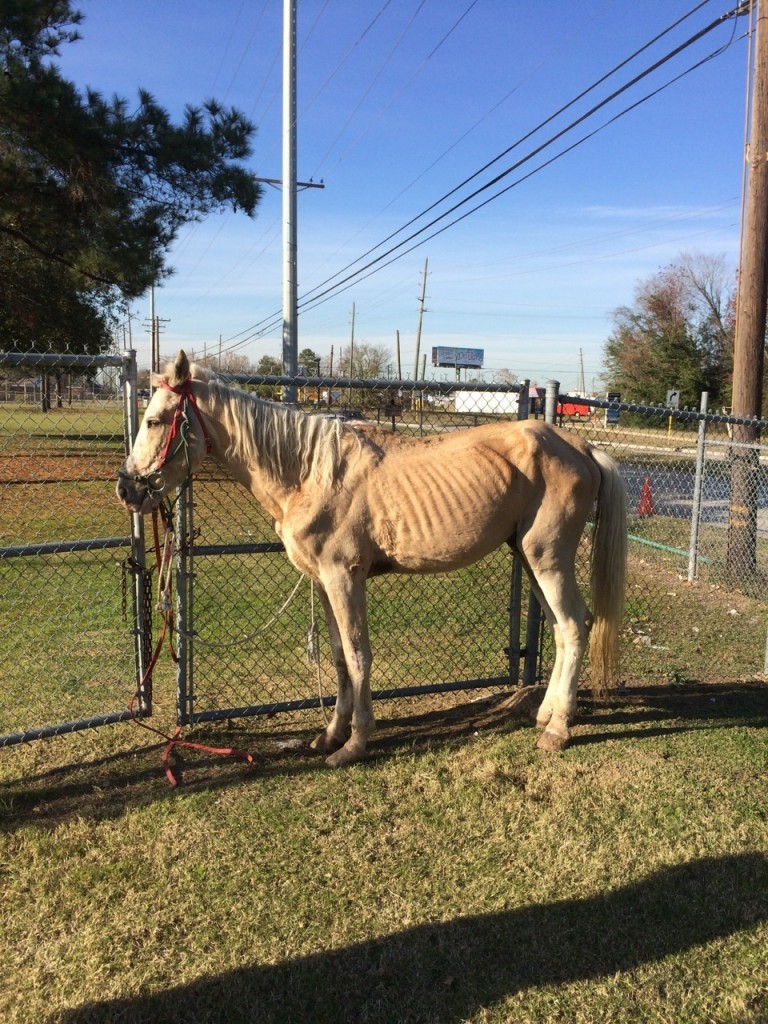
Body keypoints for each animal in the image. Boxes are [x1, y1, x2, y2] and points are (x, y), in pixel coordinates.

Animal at [117, 350, 626, 761]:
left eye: (155, 421)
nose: (127, 489)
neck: (309, 472)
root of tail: (582, 448)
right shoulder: (324, 581)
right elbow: (339, 657)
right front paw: (331, 734)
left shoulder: (345, 577)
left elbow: (359, 653)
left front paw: (356, 742)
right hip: (528, 558)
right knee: (562, 629)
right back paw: (547, 714)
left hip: (548, 559)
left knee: (574, 626)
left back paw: (558, 730)